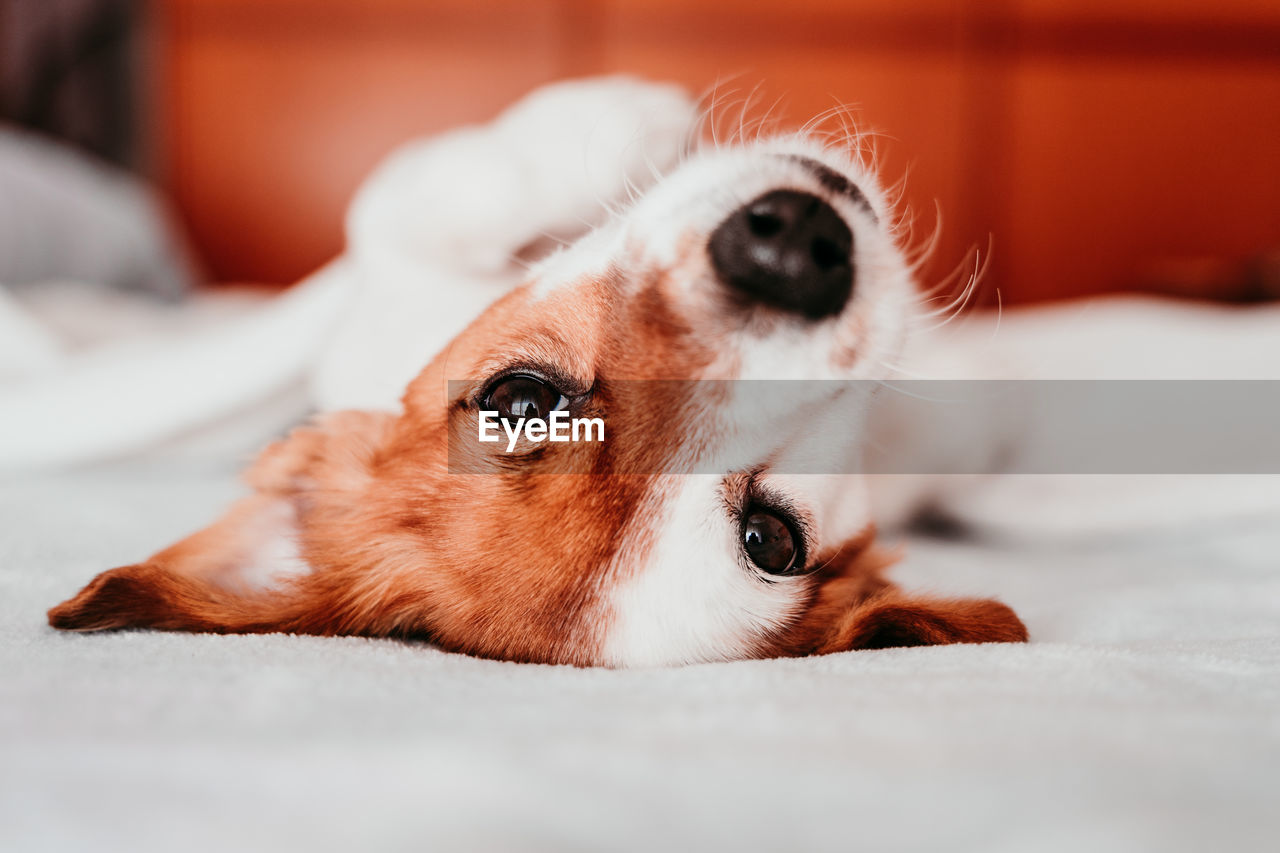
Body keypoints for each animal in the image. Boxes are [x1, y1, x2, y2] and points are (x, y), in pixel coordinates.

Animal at [47, 83, 1029, 666]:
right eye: (767, 538)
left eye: (519, 398)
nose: (789, 253)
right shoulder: (392, 249)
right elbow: (440, 193)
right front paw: (631, 116)